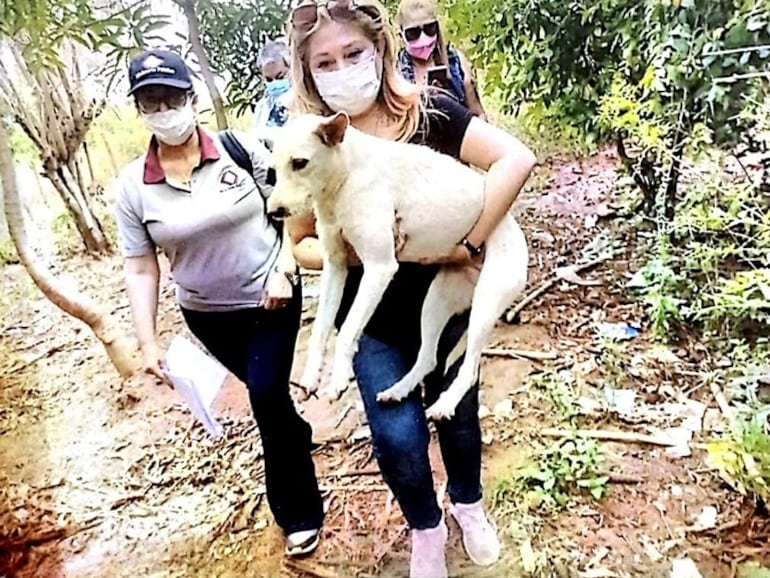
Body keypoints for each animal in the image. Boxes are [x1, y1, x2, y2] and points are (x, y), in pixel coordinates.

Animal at [266, 112, 528, 418]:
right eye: (273, 169)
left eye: (300, 163)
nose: (273, 211)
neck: (345, 178)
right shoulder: (335, 268)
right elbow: (321, 328)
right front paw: (310, 376)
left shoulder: (379, 267)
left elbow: (346, 331)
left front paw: (339, 377)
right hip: (435, 302)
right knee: (428, 358)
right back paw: (398, 391)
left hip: (485, 306)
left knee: (470, 369)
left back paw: (444, 404)